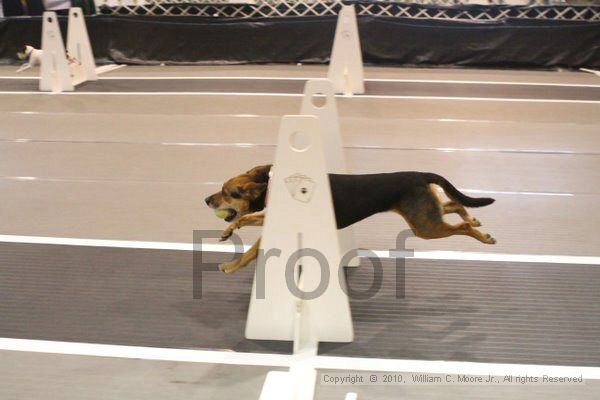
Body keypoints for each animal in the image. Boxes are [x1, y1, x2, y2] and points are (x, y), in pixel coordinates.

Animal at [204, 164, 494, 274]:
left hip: (425, 226)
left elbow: (249, 237)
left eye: (227, 193)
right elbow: (250, 244)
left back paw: (484, 237)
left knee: (461, 224)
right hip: (426, 215)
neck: (269, 186)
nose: (207, 200)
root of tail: (421, 174)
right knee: (454, 204)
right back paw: (476, 221)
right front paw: (230, 250)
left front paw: (230, 248)